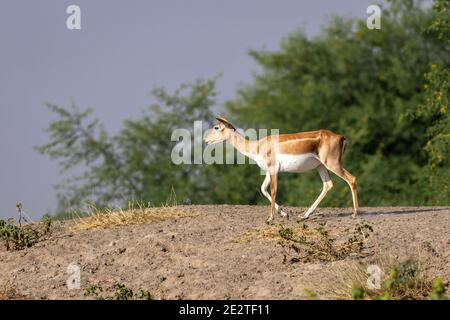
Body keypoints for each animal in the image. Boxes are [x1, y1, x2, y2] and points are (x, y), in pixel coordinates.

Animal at [204, 116, 358, 224]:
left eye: (216, 127)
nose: (205, 140)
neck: (258, 146)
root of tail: (341, 137)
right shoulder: (268, 171)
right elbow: (263, 189)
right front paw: (285, 214)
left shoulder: (274, 170)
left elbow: (273, 190)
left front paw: (270, 218)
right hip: (321, 166)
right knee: (328, 185)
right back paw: (304, 215)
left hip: (332, 164)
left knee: (352, 179)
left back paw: (354, 213)